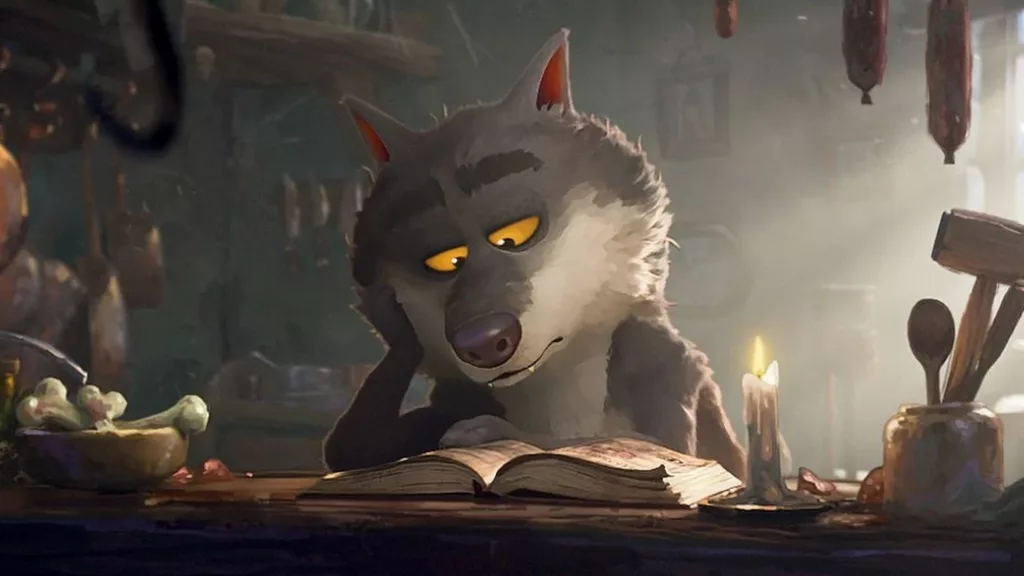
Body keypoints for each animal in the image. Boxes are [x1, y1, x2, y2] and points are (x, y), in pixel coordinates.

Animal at [323, 29, 747, 480]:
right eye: (445, 260)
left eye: (516, 234)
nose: (484, 342)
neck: (556, 391)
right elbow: (347, 446)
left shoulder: (669, 386)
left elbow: (630, 446)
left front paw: (498, 434)